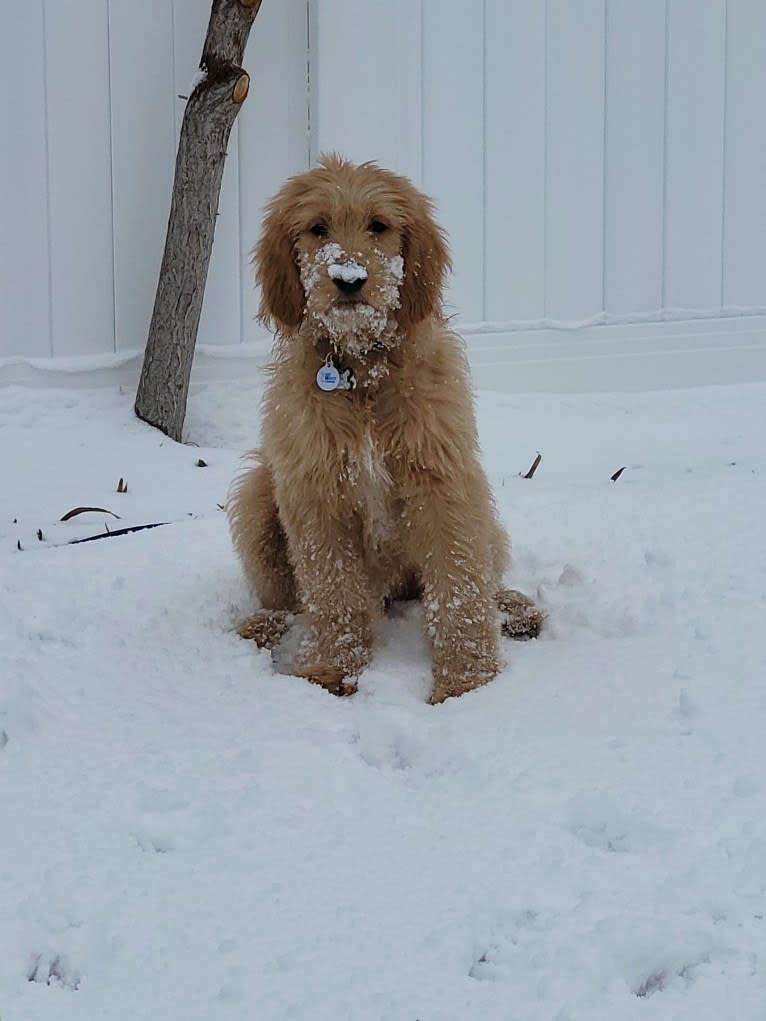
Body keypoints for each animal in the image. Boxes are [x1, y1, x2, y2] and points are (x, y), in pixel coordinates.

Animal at [224, 155, 543, 702]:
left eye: (378, 225)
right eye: (318, 227)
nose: (349, 278)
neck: (361, 368)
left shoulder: (443, 479)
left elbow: (459, 583)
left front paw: (466, 680)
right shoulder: (315, 490)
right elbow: (332, 591)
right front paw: (330, 669)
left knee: (482, 573)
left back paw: (513, 608)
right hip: (257, 497)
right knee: (291, 604)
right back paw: (262, 627)